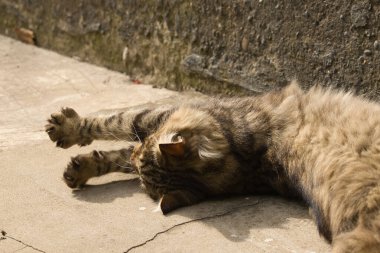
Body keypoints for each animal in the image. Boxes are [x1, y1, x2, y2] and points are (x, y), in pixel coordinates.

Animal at [46, 81, 380, 253]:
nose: (137, 155)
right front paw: (82, 166)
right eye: (140, 168)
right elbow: (119, 141)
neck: (249, 157)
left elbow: (120, 123)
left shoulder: (161, 118)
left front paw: (69, 129)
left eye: (150, 143)